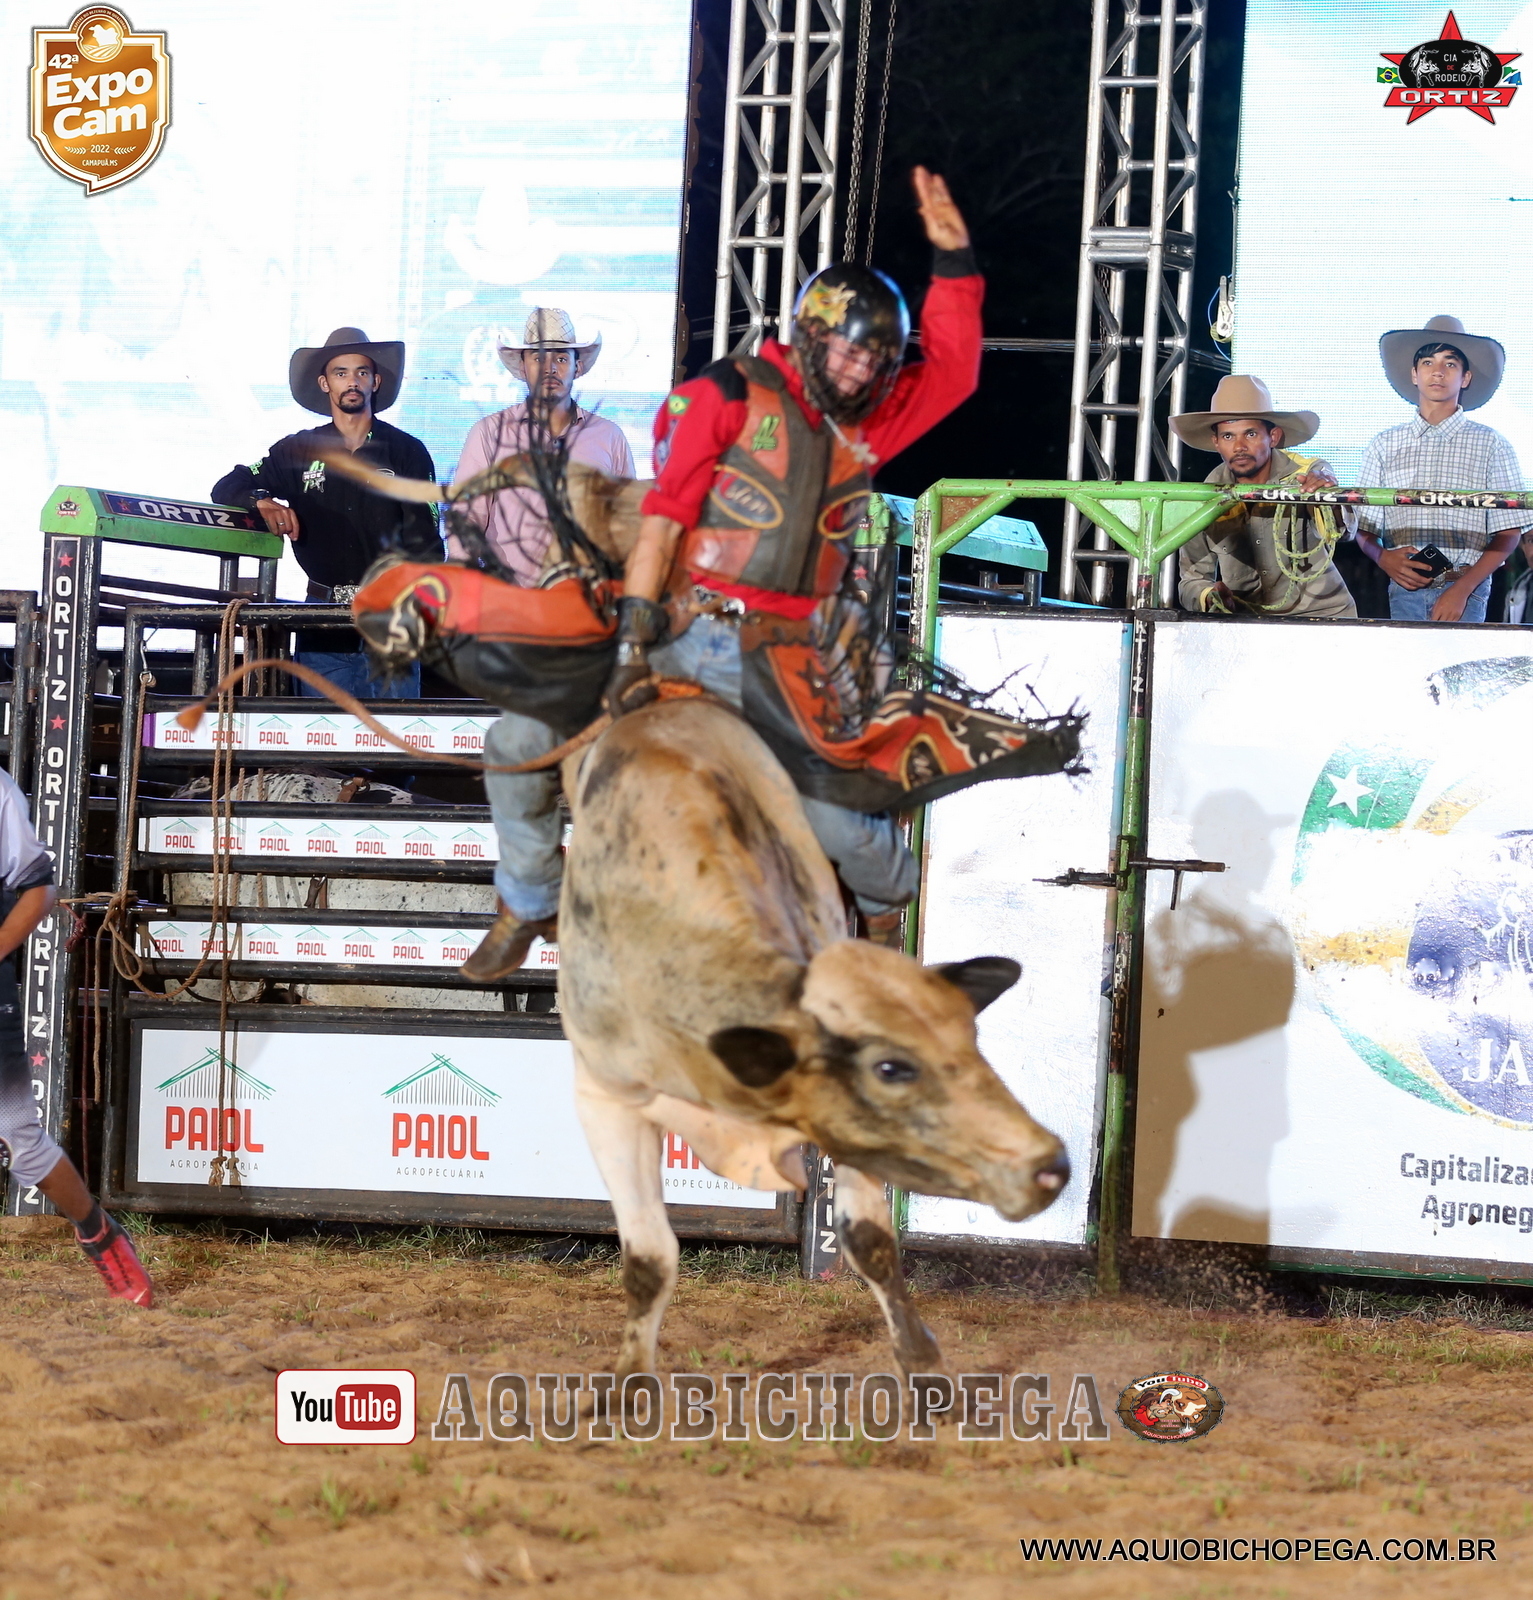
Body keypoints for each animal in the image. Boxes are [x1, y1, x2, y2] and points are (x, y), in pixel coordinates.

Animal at [558, 694, 1069, 1381]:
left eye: (972, 1036)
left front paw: (923, 1368)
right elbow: (649, 1261)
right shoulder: (605, 1098)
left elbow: (869, 1242)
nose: (1050, 1165)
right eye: (890, 1068)